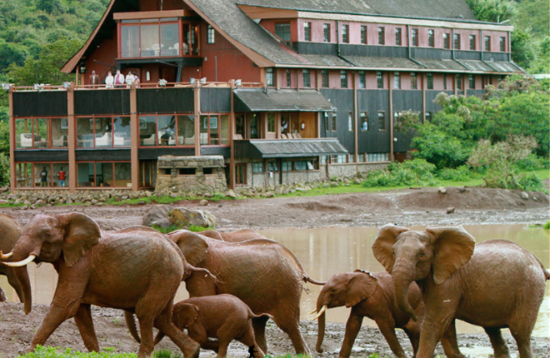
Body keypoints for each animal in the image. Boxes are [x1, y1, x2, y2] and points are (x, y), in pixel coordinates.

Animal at [0, 214, 202, 356]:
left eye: (47, 235)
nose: (26, 311)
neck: (65, 217)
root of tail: (181, 257)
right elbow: (80, 311)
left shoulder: (81, 264)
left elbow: (65, 306)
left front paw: (26, 352)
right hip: (167, 279)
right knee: (161, 318)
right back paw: (193, 351)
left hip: (163, 275)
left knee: (145, 314)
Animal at [132, 229, 326, 356]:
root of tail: (299, 266)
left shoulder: (204, 271)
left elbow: (201, 296)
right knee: (260, 323)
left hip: (287, 288)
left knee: (289, 324)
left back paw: (304, 354)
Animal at [374, 224, 548, 358]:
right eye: (393, 253)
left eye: (421, 254)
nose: (413, 316)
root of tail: (538, 262)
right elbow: (447, 328)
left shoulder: (448, 283)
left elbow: (435, 323)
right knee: (493, 332)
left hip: (530, 289)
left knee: (520, 335)